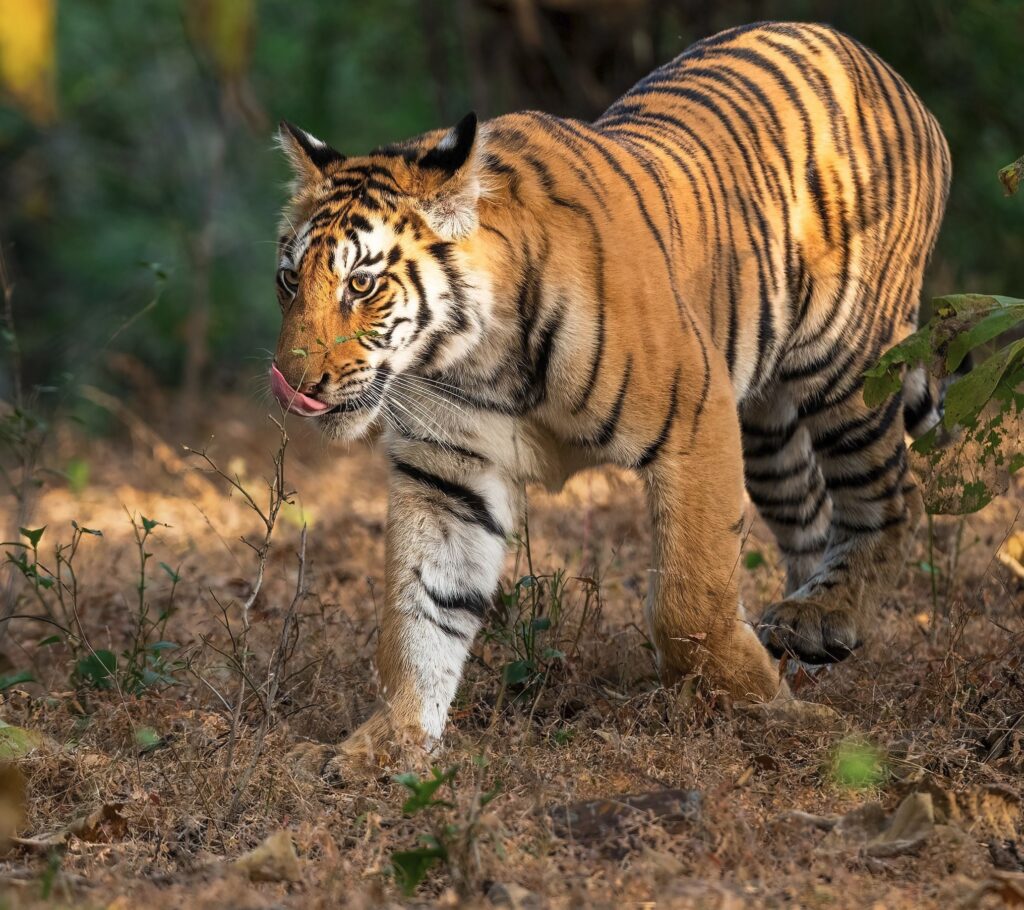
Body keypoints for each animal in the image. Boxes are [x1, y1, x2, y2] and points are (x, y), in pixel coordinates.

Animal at [269, 21, 950, 778]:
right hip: (768, 426)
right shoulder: (445, 471)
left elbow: (688, 599)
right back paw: (803, 641)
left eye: (360, 284)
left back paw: (822, 620)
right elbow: (420, 610)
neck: (474, 356)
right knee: (812, 516)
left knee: (891, 496)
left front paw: (771, 711)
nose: (292, 384)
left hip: (847, 365)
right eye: (289, 280)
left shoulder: (697, 416)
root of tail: (874, 62)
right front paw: (391, 742)